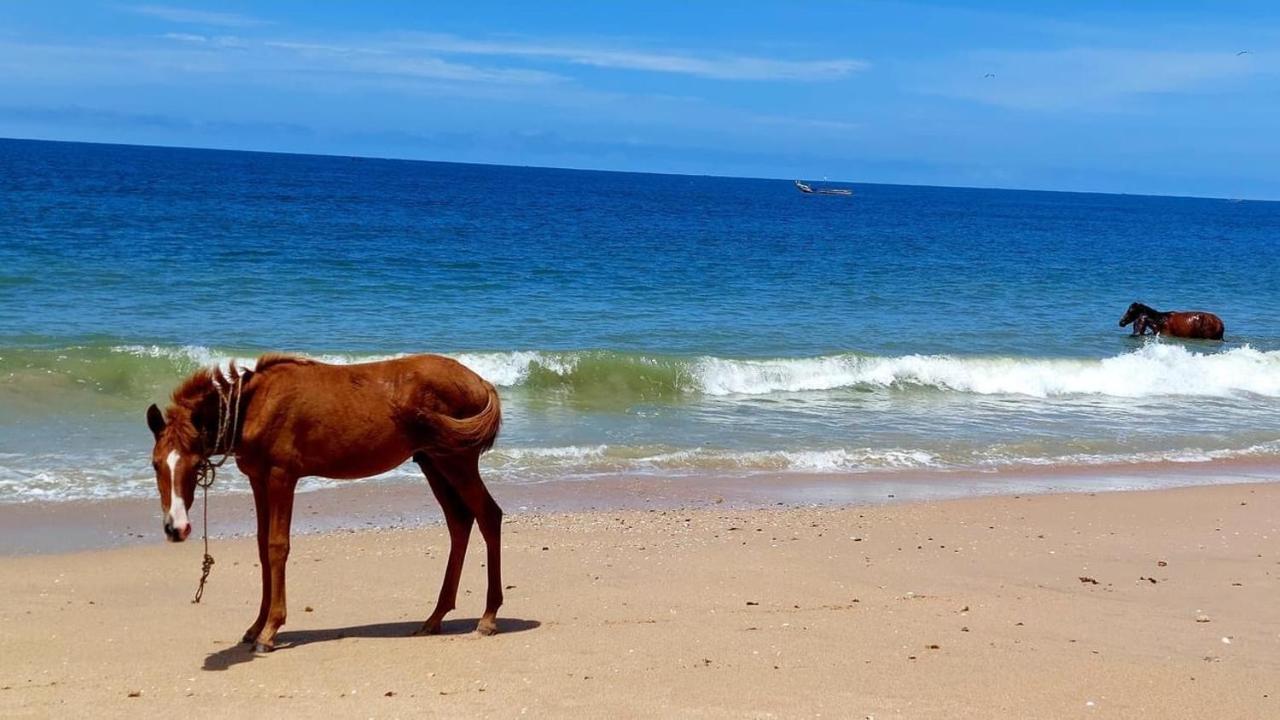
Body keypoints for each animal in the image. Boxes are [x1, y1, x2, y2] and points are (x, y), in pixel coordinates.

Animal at [142, 353, 496, 650]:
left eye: (193, 464)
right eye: (156, 464)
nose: (176, 528)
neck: (256, 405)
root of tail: (480, 382)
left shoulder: (282, 477)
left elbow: (277, 547)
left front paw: (270, 629)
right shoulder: (258, 480)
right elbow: (262, 546)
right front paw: (256, 626)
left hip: (457, 462)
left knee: (488, 516)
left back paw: (488, 618)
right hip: (433, 462)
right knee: (460, 522)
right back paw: (435, 618)